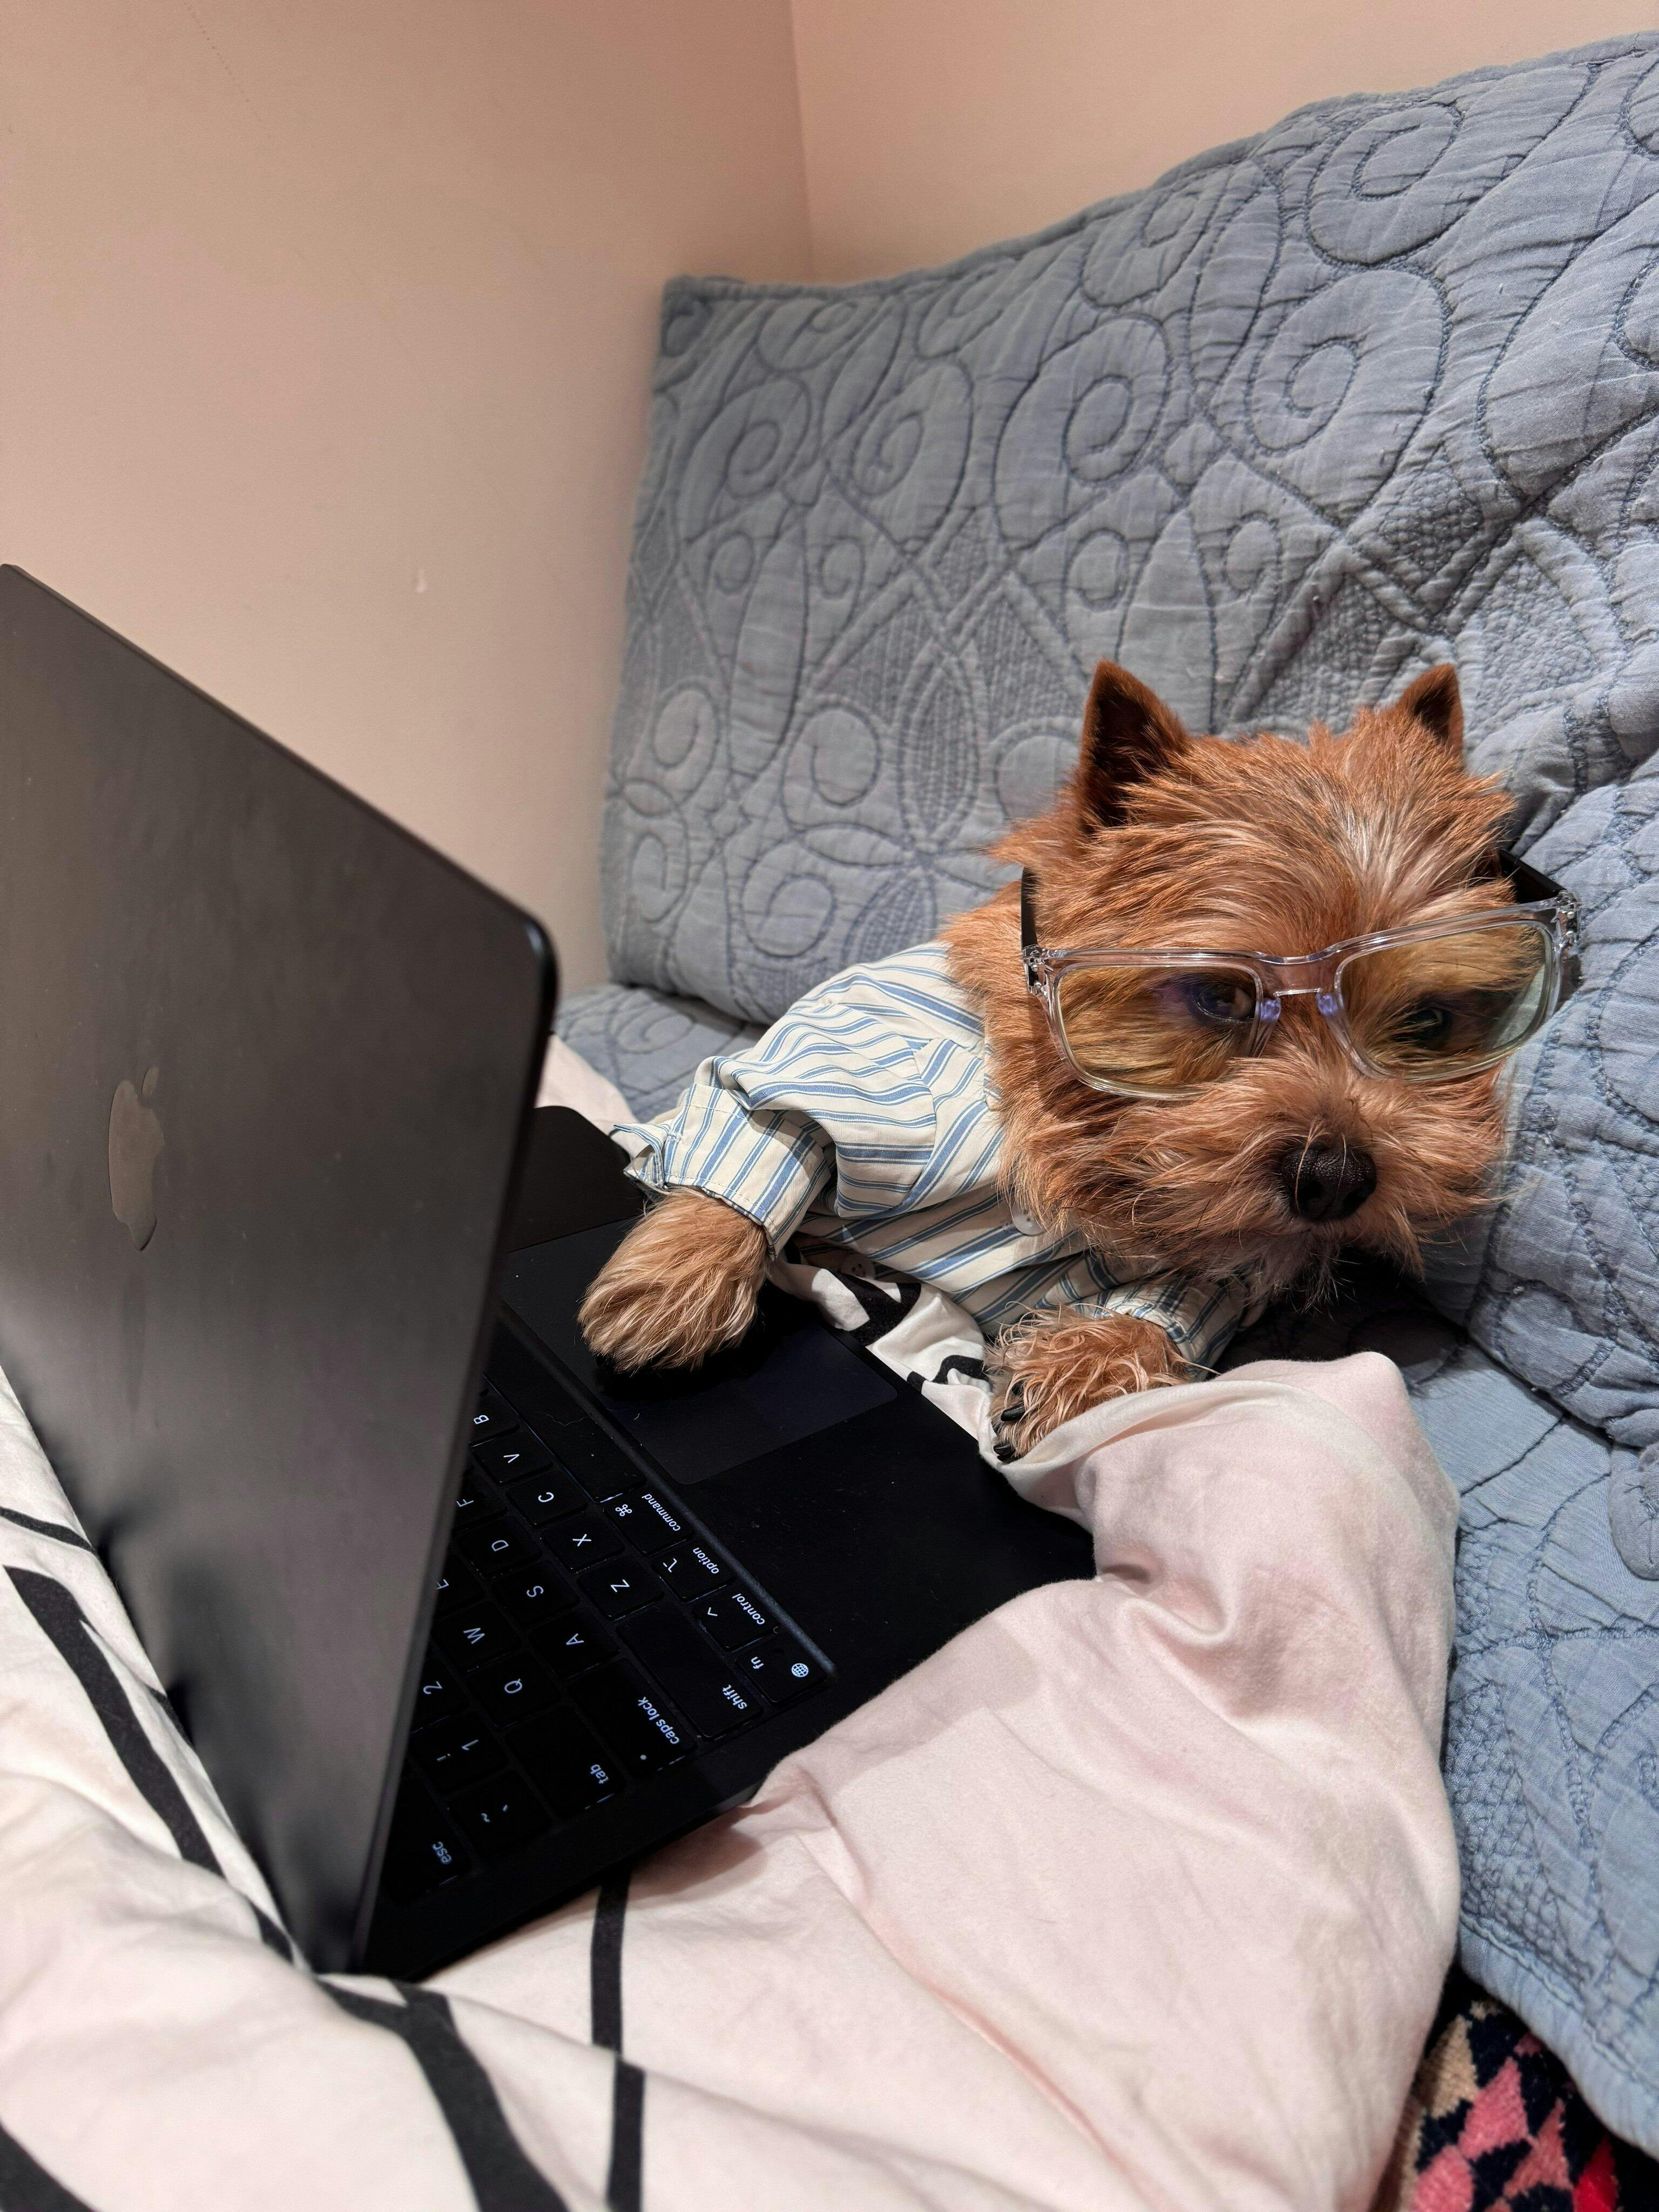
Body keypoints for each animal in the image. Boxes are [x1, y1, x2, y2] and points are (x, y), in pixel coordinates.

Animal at [581, 661, 1529, 1449]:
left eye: (1428, 1020)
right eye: (1221, 996)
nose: (1336, 1181)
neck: (1082, 1131)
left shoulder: (1209, 1259)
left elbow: (1174, 1300)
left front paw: (1084, 1363)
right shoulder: (852, 1052)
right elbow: (760, 1127)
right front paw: (672, 1290)